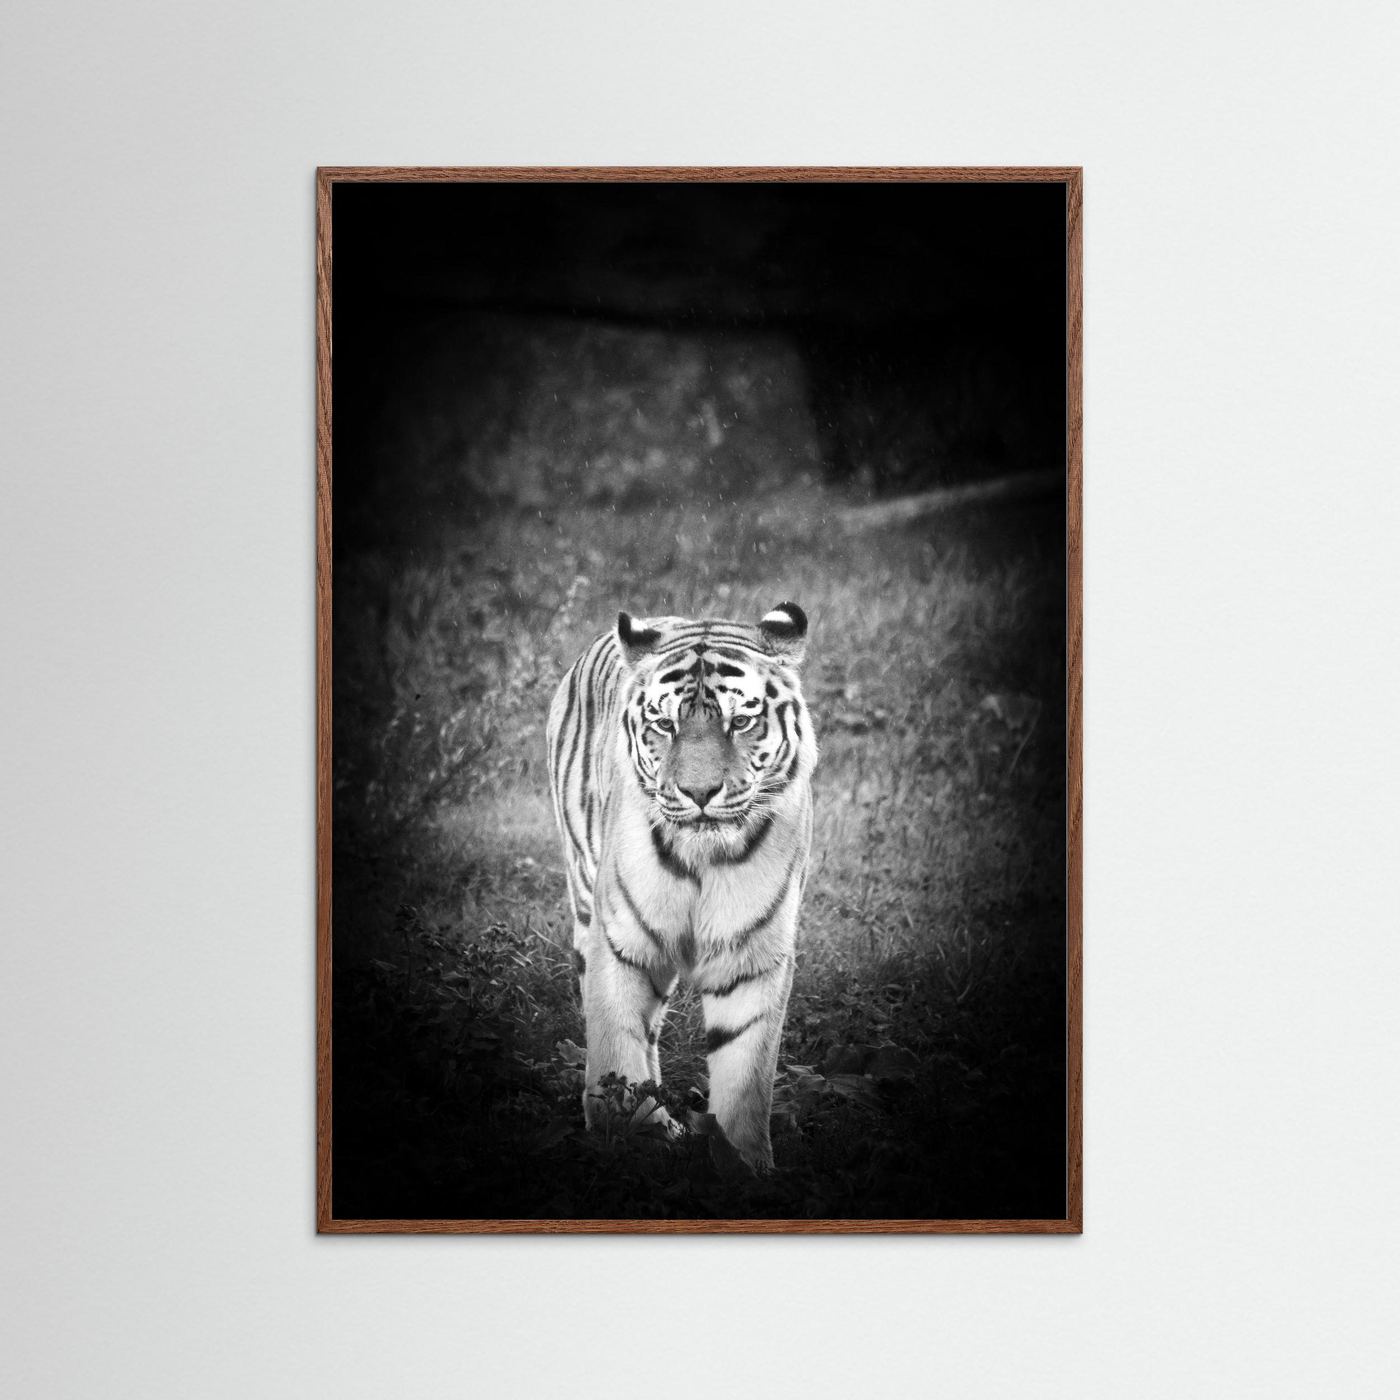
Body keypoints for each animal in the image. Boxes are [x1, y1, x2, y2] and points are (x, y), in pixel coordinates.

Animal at [545, 602, 817, 1172]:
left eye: (741, 721)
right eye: (665, 725)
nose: (699, 792)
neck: (702, 859)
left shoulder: (752, 957)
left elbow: (746, 1074)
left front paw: (744, 1166)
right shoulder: (620, 943)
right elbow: (616, 1048)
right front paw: (630, 1141)